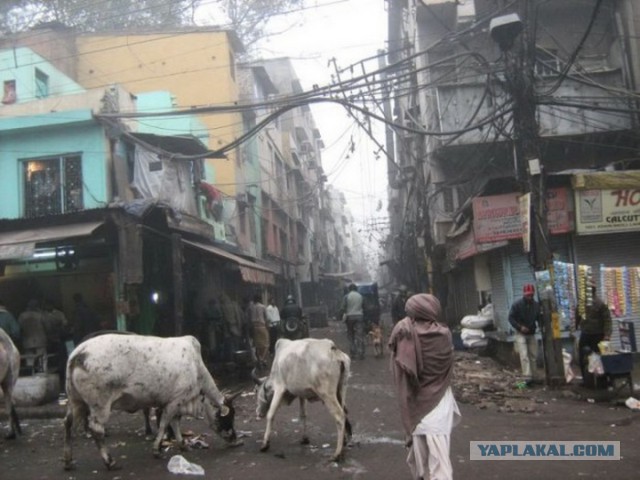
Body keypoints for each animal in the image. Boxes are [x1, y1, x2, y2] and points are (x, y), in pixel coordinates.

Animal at [63, 334, 240, 468]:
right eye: (229, 418)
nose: (235, 439)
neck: (197, 369)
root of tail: (78, 353)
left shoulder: (176, 403)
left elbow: (175, 423)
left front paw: (182, 444)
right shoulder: (175, 401)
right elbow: (164, 424)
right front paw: (156, 450)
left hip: (75, 401)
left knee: (68, 423)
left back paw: (68, 460)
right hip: (100, 405)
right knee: (97, 429)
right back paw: (110, 461)